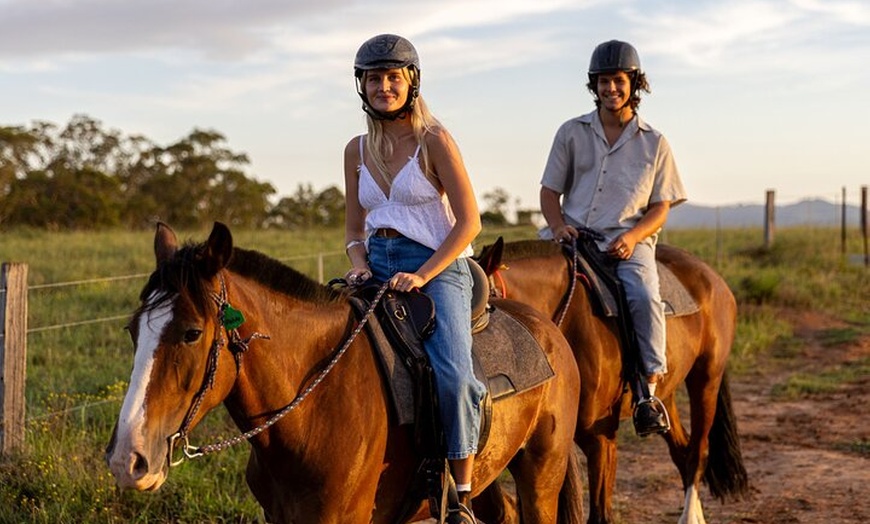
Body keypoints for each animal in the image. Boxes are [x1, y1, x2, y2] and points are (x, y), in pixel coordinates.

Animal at [105, 222, 585, 524]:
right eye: (132, 329)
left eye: (191, 333)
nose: (127, 460)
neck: (314, 406)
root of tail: (547, 328)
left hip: (541, 472)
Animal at [476, 238, 749, 524]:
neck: (571, 319)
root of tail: (710, 274)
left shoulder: (600, 436)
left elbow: (600, 514)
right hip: (667, 394)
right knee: (682, 450)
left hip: (706, 378)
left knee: (698, 451)